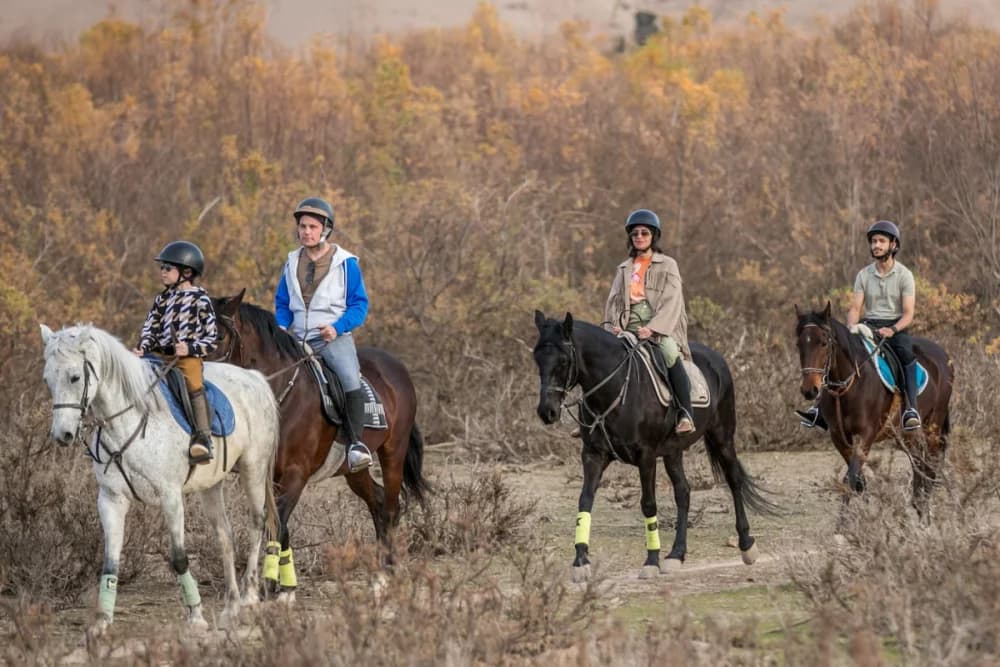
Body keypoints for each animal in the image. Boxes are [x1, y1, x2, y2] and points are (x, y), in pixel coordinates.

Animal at [39, 323, 280, 632]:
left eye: (75, 377)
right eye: (48, 380)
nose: (63, 435)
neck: (128, 422)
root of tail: (255, 378)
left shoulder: (170, 497)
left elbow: (178, 558)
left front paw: (196, 616)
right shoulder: (111, 499)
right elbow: (110, 562)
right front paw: (102, 622)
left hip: (254, 470)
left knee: (256, 524)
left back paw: (249, 598)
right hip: (211, 485)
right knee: (225, 537)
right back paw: (232, 606)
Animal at [209, 291, 429, 595]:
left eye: (218, 336)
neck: (281, 395)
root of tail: (395, 367)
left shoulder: (296, 473)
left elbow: (278, 521)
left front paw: (271, 585)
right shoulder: (270, 475)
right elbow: (279, 524)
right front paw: (282, 585)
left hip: (393, 452)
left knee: (391, 505)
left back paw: (389, 571)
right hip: (353, 470)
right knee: (378, 501)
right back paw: (379, 575)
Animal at [532, 311, 775, 581]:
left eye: (564, 361)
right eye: (537, 358)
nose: (547, 412)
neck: (615, 389)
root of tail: (716, 358)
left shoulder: (645, 456)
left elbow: (648, 504)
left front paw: (650, 561)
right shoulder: (593, 455)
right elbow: (585, 501)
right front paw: (581, 561)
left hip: (722, 437)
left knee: (733, 481)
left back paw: (747, 545)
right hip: (673, 451)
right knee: (683, 492)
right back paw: (676, 555)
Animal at [794, 303, 953, 513]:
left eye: (823, 343)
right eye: (799, 344)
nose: (809, 390)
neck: (848, 385)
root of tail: (943, 355)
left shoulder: (866, 435)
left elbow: (851, 479)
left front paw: (845, 522)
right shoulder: (839, 437)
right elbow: (858, 481)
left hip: (932, 427)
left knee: (930, 466)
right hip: (907, 435)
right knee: (919, 464)